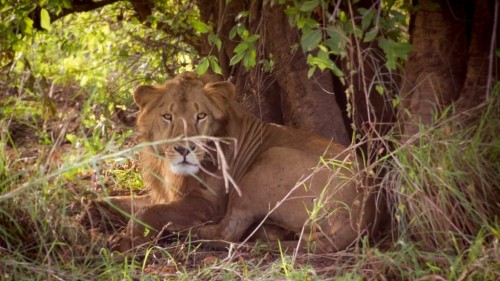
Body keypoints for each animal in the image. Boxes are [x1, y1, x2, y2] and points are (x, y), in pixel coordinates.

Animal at [90, 71, 376, 252]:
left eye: (201, 116)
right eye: (167, 116)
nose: (184, 149)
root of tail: (362, 214)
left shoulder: (209, 204)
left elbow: (149, 211)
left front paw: (126, 240)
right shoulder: (164, 193)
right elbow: (119, 202)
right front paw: (93, 213)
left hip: (269, 161)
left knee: (227, 232)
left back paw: (187, 235)